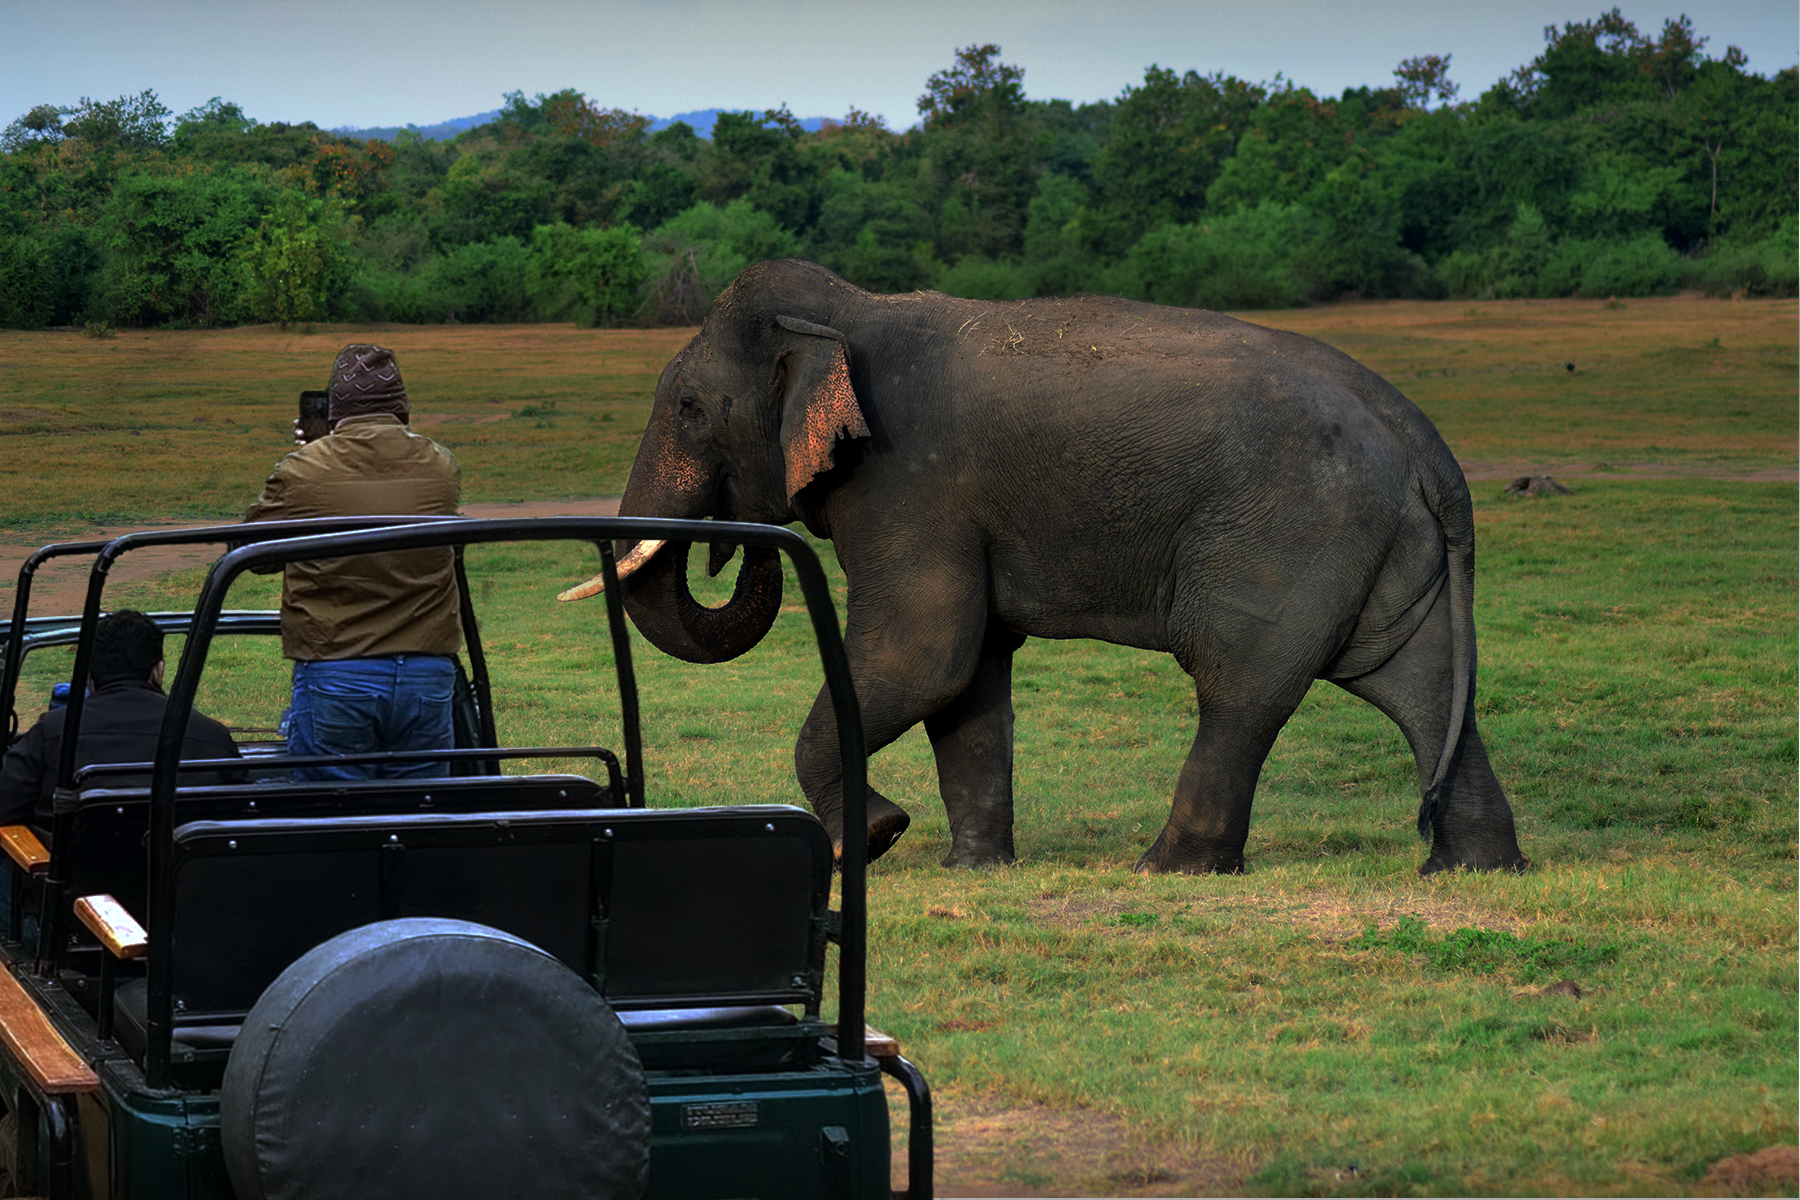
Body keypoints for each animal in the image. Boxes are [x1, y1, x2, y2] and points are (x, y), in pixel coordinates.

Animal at [558, 259, 1519, 877]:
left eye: (688, 408)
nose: (732, 539)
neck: (849, 311)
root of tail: (1428, 446)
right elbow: (968, 672)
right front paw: (975, 867)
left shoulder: (910, 481)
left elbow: (924, 654)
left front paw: (869, 839)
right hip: (1380, 541)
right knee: (1421, 686)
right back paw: (1472, 869)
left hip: (1292, 530)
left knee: (1240, 683)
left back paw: (1167, 870)